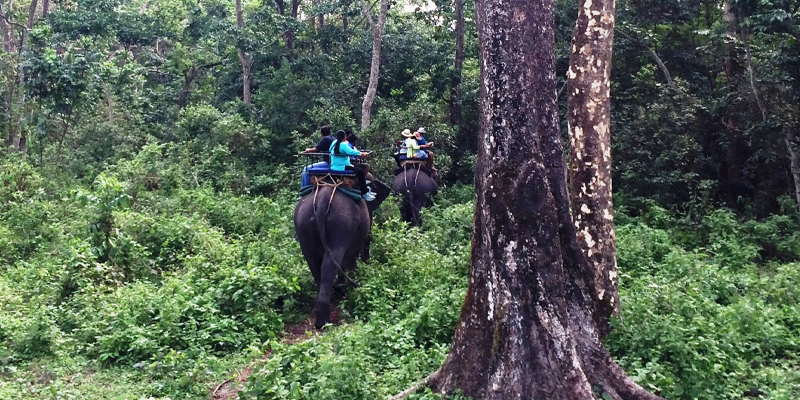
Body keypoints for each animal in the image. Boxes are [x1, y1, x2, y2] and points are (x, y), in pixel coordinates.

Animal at [294, 179, 390, 329]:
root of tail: (323, 198)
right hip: (342, 223)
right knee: (329, 265)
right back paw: (324, 321)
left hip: (302, 223)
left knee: (314, 265)